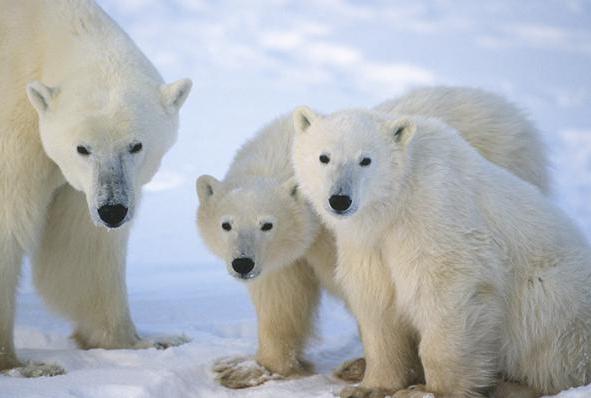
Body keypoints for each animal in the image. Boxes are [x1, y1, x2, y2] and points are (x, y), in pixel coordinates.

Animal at [0, 0, 192, 374]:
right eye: (82, 148)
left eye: (136, 145)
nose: (113, 211)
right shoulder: (14, 137)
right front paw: (25, 366)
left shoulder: (80, 189)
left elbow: (81, 244)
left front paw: (142, 342)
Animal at [198, 87, 552, 388]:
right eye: (226, 225)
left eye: (267, 225)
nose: (242, 263)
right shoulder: (285, 256)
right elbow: (281, 296)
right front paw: (246, 369)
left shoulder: (338, 238)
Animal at [292, 98, 591, 396]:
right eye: (324, 157)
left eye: (366, 160)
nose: (339, 200)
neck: (395, 205)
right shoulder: (368, 247)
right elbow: (378, 305)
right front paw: (369, 387)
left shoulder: (436, 215)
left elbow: (445, 292)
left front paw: (433, 390)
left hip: (553, 293)